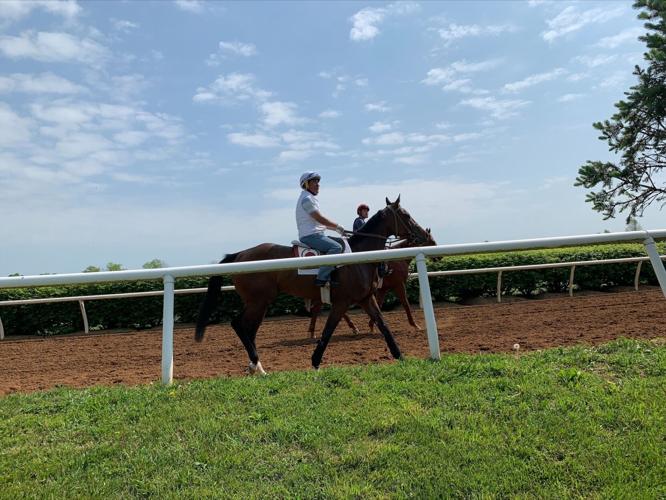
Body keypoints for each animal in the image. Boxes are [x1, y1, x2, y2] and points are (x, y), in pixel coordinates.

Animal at [306, 229, 437, 338]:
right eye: (430, 240)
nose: (437, 258)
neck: (398, 259)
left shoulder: (382, 289)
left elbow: (379, 304)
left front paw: (372, 325)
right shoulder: (398, 285)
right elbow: (405, 303)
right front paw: (414, 325)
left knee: (323, 307)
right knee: (320, 307)